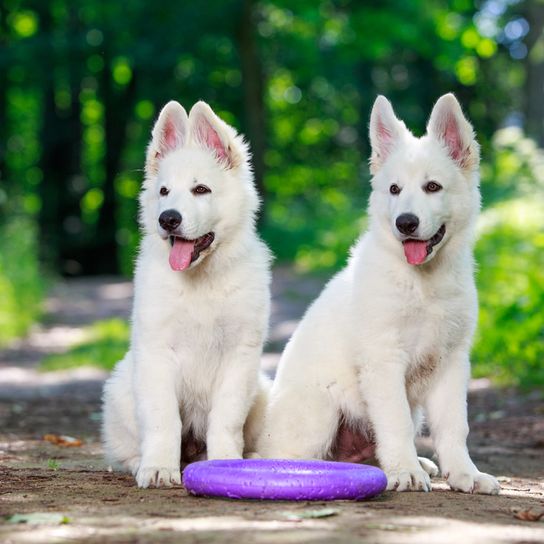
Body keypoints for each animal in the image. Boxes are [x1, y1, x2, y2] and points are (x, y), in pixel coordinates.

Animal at [101, 100, 270, 486]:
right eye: (164, 192)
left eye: (201, 190)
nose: (168, 219)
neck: (200, 280)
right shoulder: (156, 353)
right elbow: (163, 420)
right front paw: (158, 468)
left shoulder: (240, 356)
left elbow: (226, 420)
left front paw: (226, 464)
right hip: (120, 388)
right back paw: (141, 461)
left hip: (263, 390)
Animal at [258, 94, 500, 498]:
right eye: (394, 190)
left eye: (433, 187)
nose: (406, 223)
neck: (422, 283)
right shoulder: (384, 360)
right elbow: (395, 421)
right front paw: (406, 472)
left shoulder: (451, 362)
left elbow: (455, 426)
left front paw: (465, 474)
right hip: (319, 409)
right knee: (285, 456)